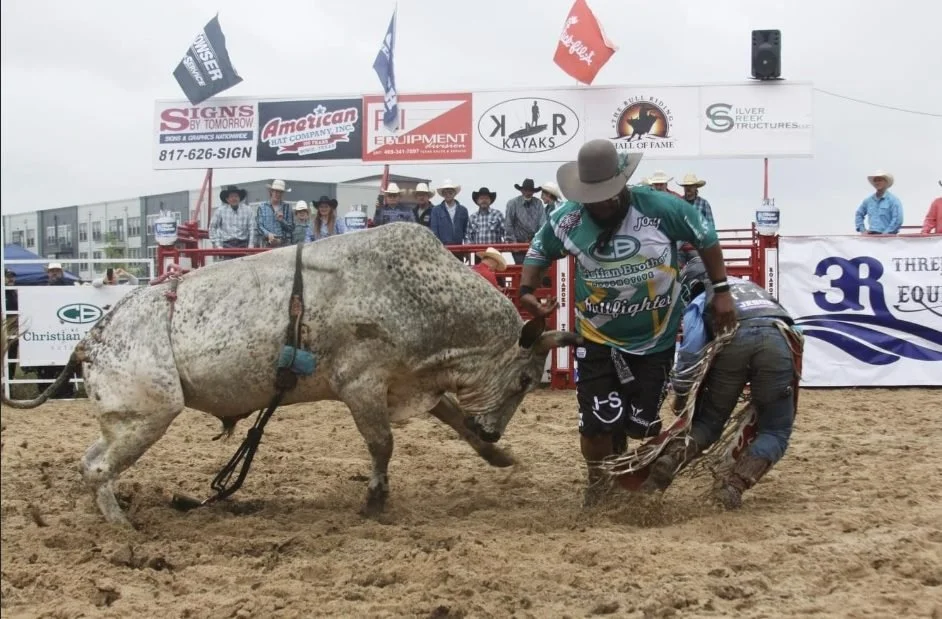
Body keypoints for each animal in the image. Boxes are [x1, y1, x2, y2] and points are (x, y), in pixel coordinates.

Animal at [1, 224, 584, 528]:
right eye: (525, 380)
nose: (494, 428)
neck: (419, 296)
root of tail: (93, 337)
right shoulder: (361, 384)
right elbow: (383, 443)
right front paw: (375, 501)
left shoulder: (407, 382)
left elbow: (453, 418)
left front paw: (498, 455)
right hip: (149, 412)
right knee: (99, 467)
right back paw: (123, 526)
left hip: (125, 418)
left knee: (90, 459)